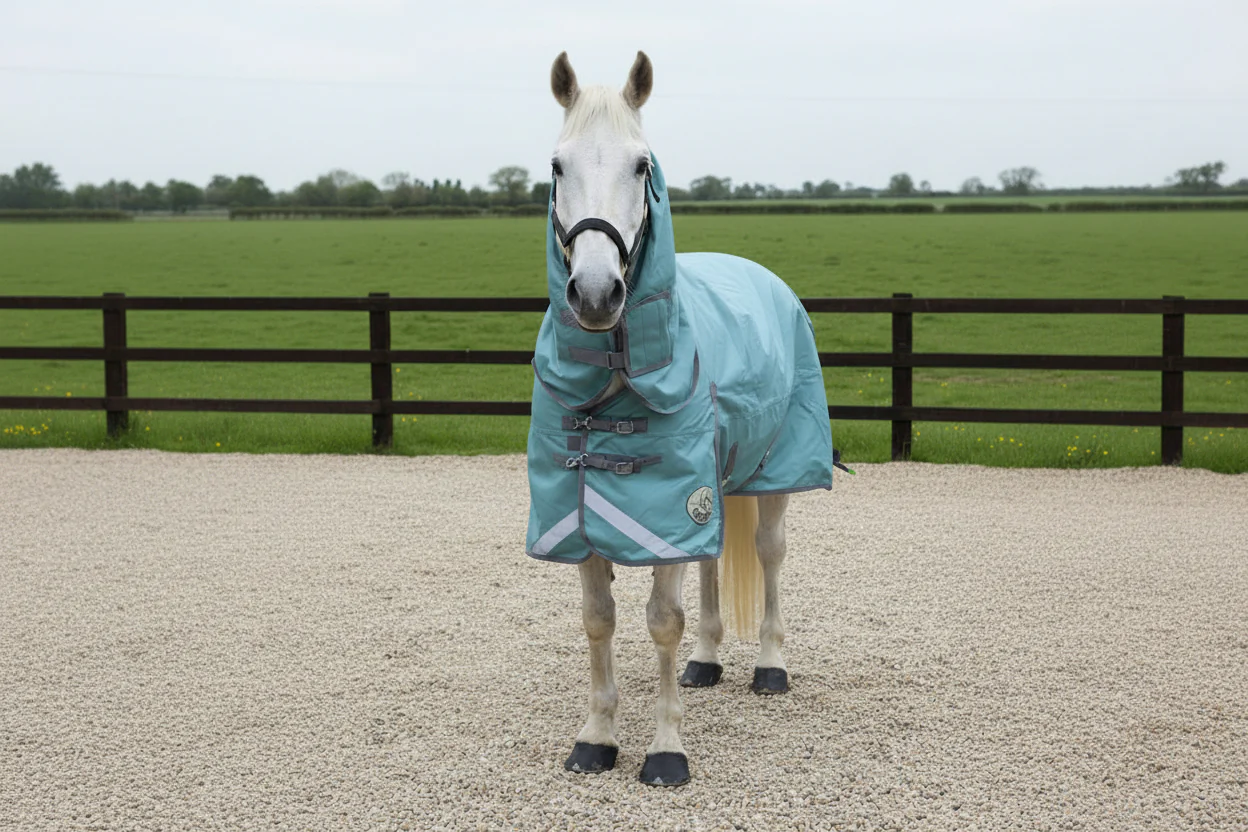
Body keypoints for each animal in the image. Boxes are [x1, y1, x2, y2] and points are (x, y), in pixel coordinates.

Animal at [525, 51, 836, 787]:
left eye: (643, 165)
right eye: (557, 165)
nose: (596, 293)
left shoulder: (670, 509)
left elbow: (662, 619)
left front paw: (667, 749)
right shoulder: (579, 512)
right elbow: (598, 619)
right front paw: (596, 738)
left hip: (773, 475)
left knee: (769, 554)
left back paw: (769, 666)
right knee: (712, 561)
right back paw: (707, 660)